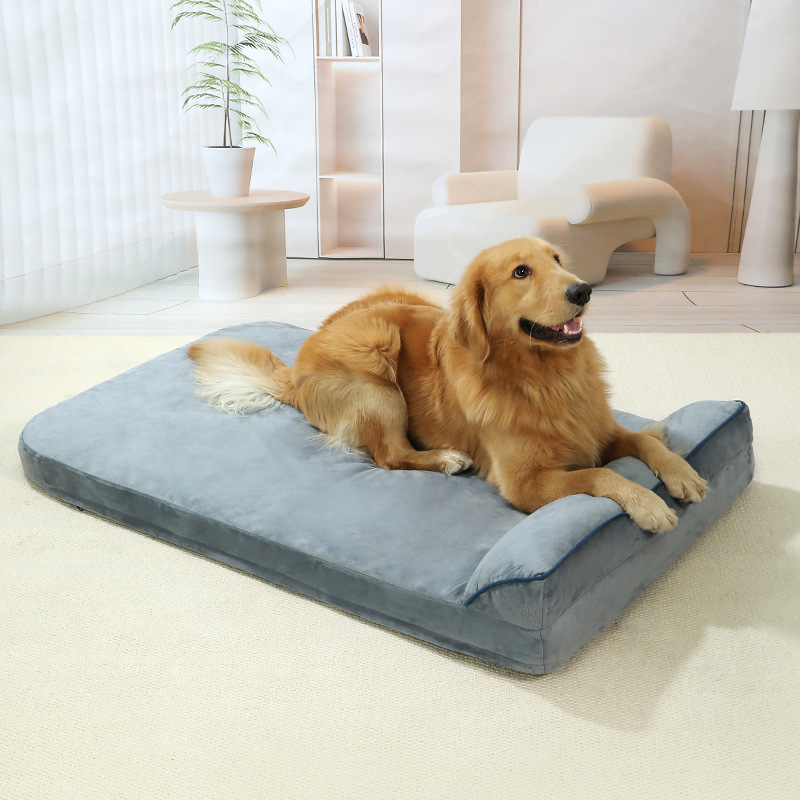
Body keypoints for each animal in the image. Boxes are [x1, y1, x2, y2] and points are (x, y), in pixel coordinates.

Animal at [188, 237, 707, 532]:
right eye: (521, 272)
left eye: (558, 259)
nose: (583, 290)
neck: (543, 376)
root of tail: (294, 373)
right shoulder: (526, 484)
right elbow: (602, 475)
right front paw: (647, 505)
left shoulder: (598, 429)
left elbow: (643, 440)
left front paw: (681, 473)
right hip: (376, 362)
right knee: (391, 455)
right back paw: (445, 458)